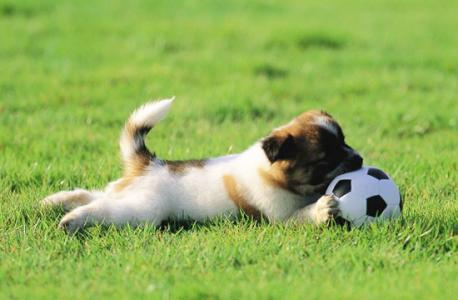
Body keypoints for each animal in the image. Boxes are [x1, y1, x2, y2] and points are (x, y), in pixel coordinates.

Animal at [43, 98, 364, 232]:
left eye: (345, 141)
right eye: (325, 159)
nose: (360, 159)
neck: (273, 173)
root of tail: (149, 164)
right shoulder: (281, 217)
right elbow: (305, 214)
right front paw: (323, 209)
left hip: (126, 193)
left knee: (94, 194)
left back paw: (53, 202)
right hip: (142, 209)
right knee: (102, 208)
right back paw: (72, 220)